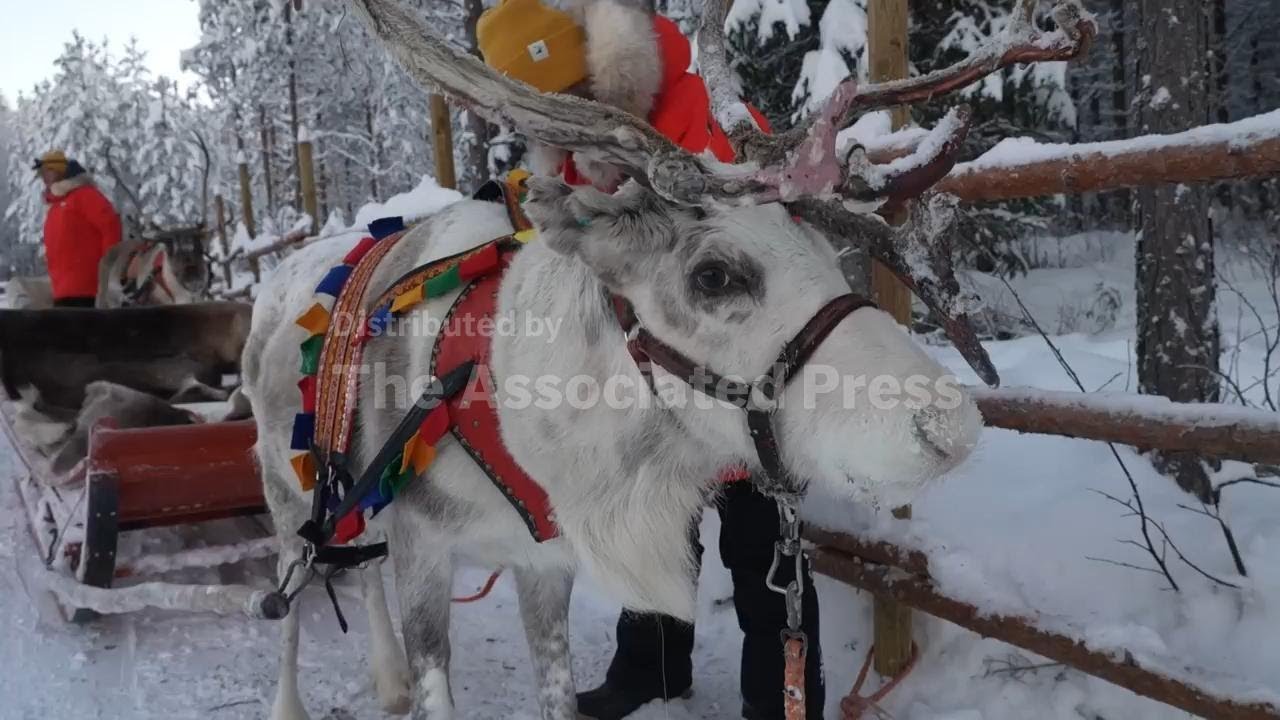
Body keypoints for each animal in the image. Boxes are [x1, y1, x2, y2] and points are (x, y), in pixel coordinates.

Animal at [240, 1, 1095, 718]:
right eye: (713, 275)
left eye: (830, 256)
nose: (951, 428)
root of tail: (274, 278)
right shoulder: (424, 544)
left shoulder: (542, 560)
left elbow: (556, 693)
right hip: (283, 488)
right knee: (292, 593)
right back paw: (289, 701)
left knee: (355, 565)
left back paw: (382, 681)